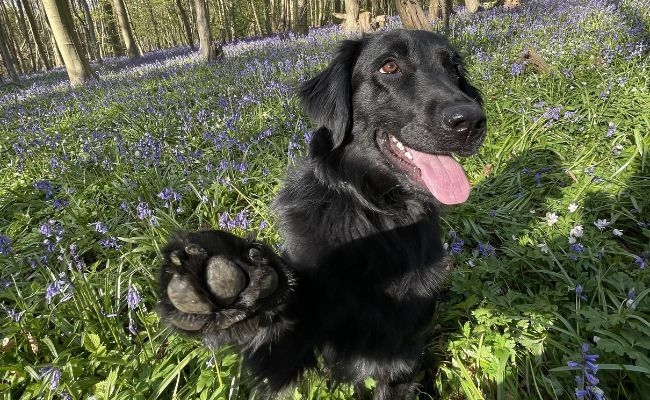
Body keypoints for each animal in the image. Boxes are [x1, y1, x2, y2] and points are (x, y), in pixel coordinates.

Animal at [156, 28, 480, 400]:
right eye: (389, 66)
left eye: (454, 69)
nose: (471, 121)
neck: (374, 216)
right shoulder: (293, 346)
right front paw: (230, 275)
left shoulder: (401, 353)